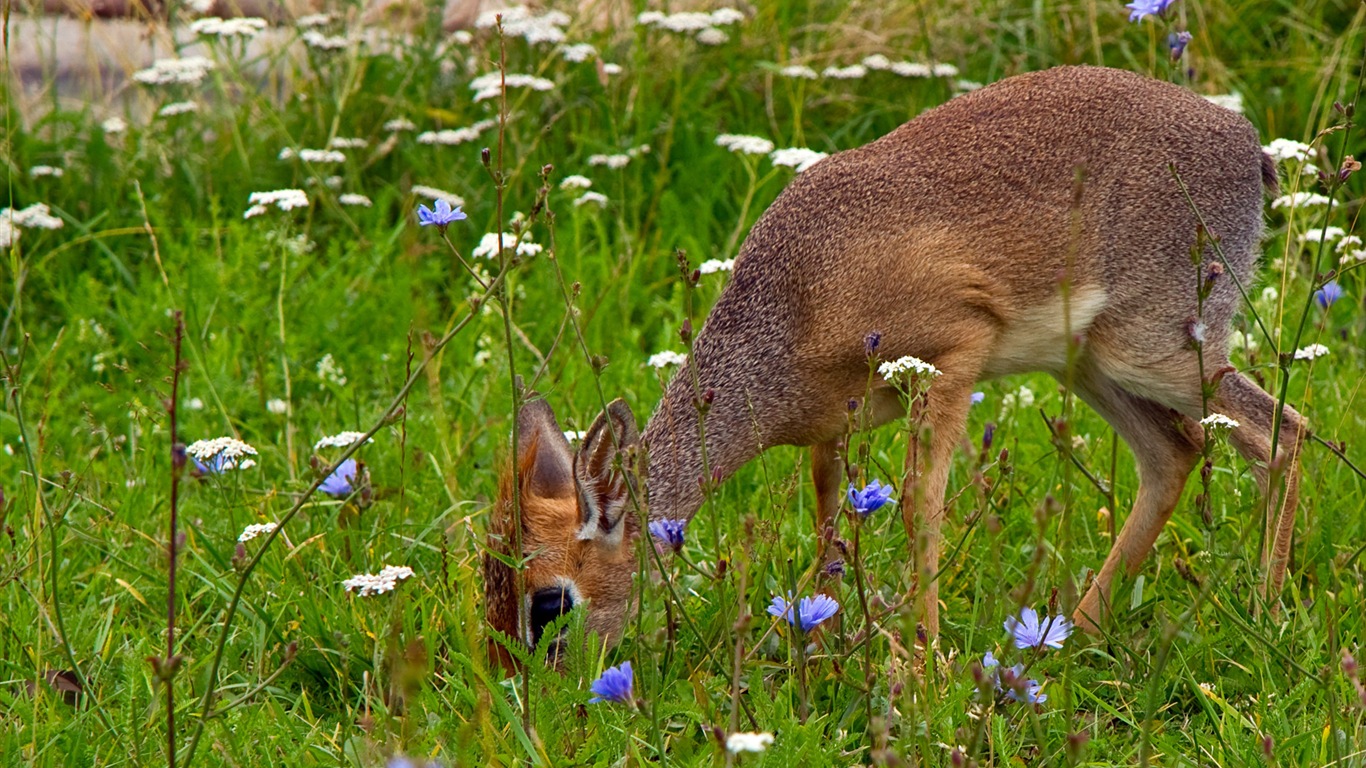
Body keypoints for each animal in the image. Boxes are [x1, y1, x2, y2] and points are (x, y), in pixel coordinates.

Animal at [483, 65, 1300, 664]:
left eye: (549, 600)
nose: (541, 698)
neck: (793, 306)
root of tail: (1247, 146)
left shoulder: (953, 355)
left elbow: (919, 505)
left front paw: (925, 661)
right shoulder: (829, 432)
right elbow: (829, 525)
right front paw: (819, 642)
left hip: (1154, 349)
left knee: (1281, 430)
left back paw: (1265, 617)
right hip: (1090, 365)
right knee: (1175, 453)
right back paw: (1074, 636)